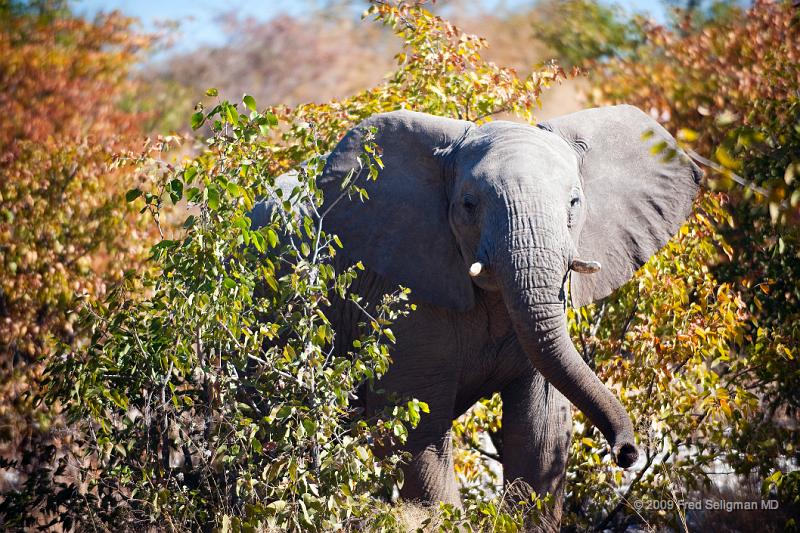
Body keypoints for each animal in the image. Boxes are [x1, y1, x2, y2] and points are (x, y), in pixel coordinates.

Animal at [250, 104, 700, 528]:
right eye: (469, 205)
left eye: (574, 203)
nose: (627, 452)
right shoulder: (403, 295)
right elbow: (416, 434)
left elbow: (540, 431)